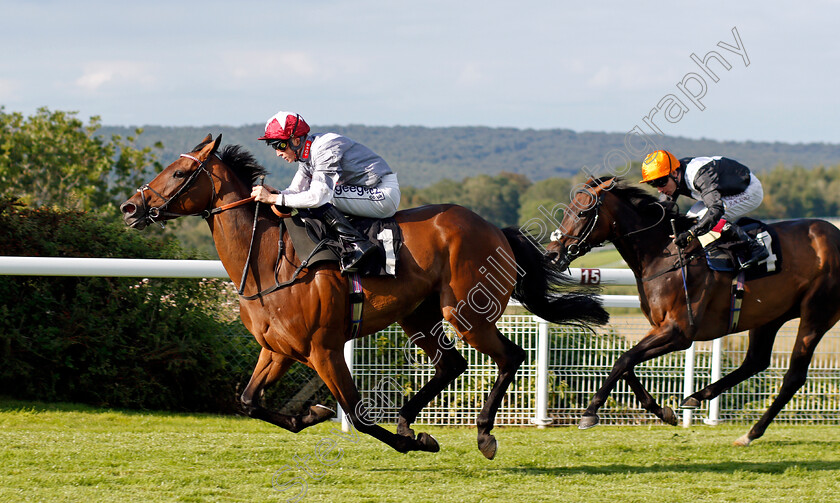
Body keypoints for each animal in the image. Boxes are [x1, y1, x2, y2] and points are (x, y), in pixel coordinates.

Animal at [118, 136, 608, 458]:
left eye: (180, 173)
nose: (130, 207)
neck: (268, 261)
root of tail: (495, 229)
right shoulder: (277, 349)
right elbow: (249, 401)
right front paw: (312, 415)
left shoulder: (324, 349)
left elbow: (356, 415)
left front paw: (412, 443)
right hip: (418, 315)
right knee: (452, 364)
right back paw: (409, 419)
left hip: (466, 311)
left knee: (510, 356)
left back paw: (483, 434)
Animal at [544, 179, 840, 446]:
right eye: (567, 210)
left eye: (582, 213)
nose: (552, 254)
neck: (662, 254)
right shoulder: (659, 327)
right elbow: (627, 364)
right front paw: (663, 412)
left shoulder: (679, 332)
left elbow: (623, 360)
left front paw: (590, 412)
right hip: (770, 315)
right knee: (756, 361)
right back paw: (698, 397)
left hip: (816, 313)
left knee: (794, 377)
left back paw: (750, 432)